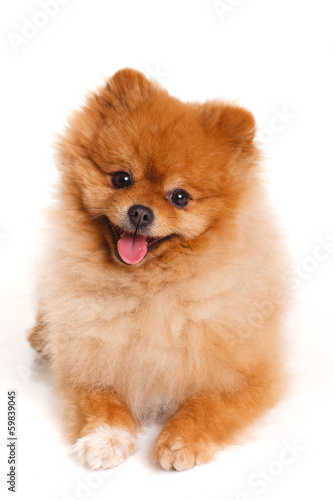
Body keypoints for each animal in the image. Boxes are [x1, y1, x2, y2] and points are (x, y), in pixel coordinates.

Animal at [28, 68, 288, 470]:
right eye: (121, 178)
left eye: (179, 197)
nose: (139, 212)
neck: (151, 288)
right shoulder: (86, 357)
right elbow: (99, 398)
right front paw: (106, 437)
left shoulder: (249, 375)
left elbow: (211, 403)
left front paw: (181, 439)